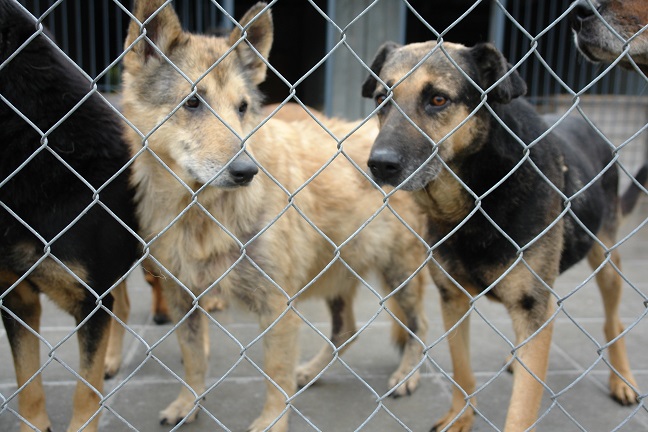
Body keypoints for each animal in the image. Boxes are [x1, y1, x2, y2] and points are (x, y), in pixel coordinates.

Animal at [121, 1, 429, 431]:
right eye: (193, 102)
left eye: (242, 108)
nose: (246, 172)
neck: (200, 212)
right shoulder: (183, 299)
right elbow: (194, 361)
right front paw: (188, 403)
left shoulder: (277, 309)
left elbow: (274, 375)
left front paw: (271, 420)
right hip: (338, 274)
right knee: (346, 332)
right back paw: (312, 372)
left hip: (400, 275)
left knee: (420, 329)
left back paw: (406, 376)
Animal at [363, 40, 645, 431]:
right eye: (381, 99)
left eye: (438, 99)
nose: (379, 165)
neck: (474, 203)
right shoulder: (453, 299)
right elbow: (462, 373)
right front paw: (460, 416)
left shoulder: (532, 305)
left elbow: (522, 407)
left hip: (605, 259)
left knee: (612, 321)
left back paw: (622, 380)